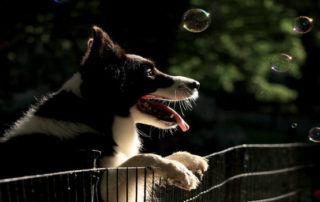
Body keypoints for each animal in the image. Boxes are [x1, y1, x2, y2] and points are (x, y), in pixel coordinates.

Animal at [0, 26, 209, 201]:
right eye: (149, 72)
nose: (197, 84)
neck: (96, 113)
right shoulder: (94, 187)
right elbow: (144, 157)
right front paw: (179, 172)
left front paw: (189, 159)